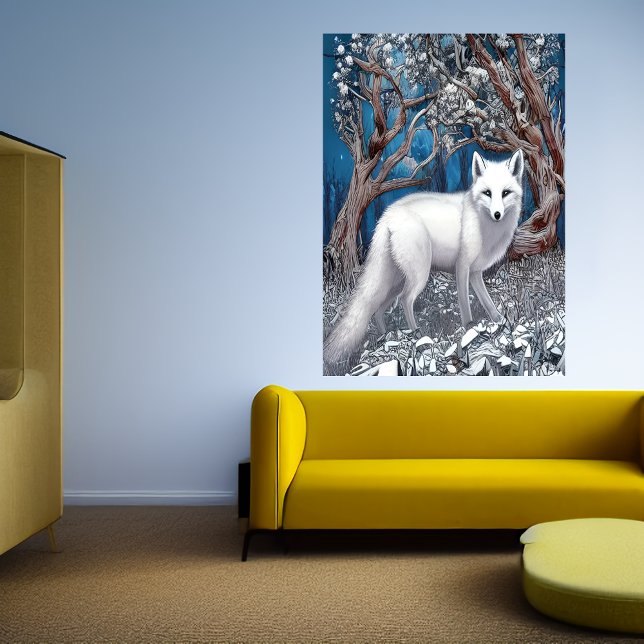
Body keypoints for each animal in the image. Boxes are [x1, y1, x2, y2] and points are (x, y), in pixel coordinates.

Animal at [324, 149, 524, 364]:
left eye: (505, 193)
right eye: (487, 193)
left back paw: (385, 337)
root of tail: (388, 216)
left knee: (378, 309)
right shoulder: (462, 267)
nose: (497, 214)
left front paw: (501, 323)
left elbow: (488, 303)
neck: (482, 223)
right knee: (405, 300)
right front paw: (469, 328)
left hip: (396, 281)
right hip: (418, 275)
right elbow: (465, 304)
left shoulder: (475, 273)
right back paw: (417, 335)